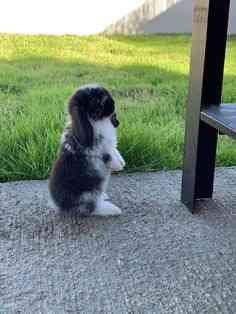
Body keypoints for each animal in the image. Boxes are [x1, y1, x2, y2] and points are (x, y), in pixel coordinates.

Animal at [49, 83, 126, 216]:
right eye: (97, 101)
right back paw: (113, 209)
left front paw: (122, 163)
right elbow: (109, 155)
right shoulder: (101, 148)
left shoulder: (111, 144)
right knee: (91, 207)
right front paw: (117, 166)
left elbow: (116, 151)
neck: (96, 121)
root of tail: (60, 205)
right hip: (89, 193)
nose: (113, 103)